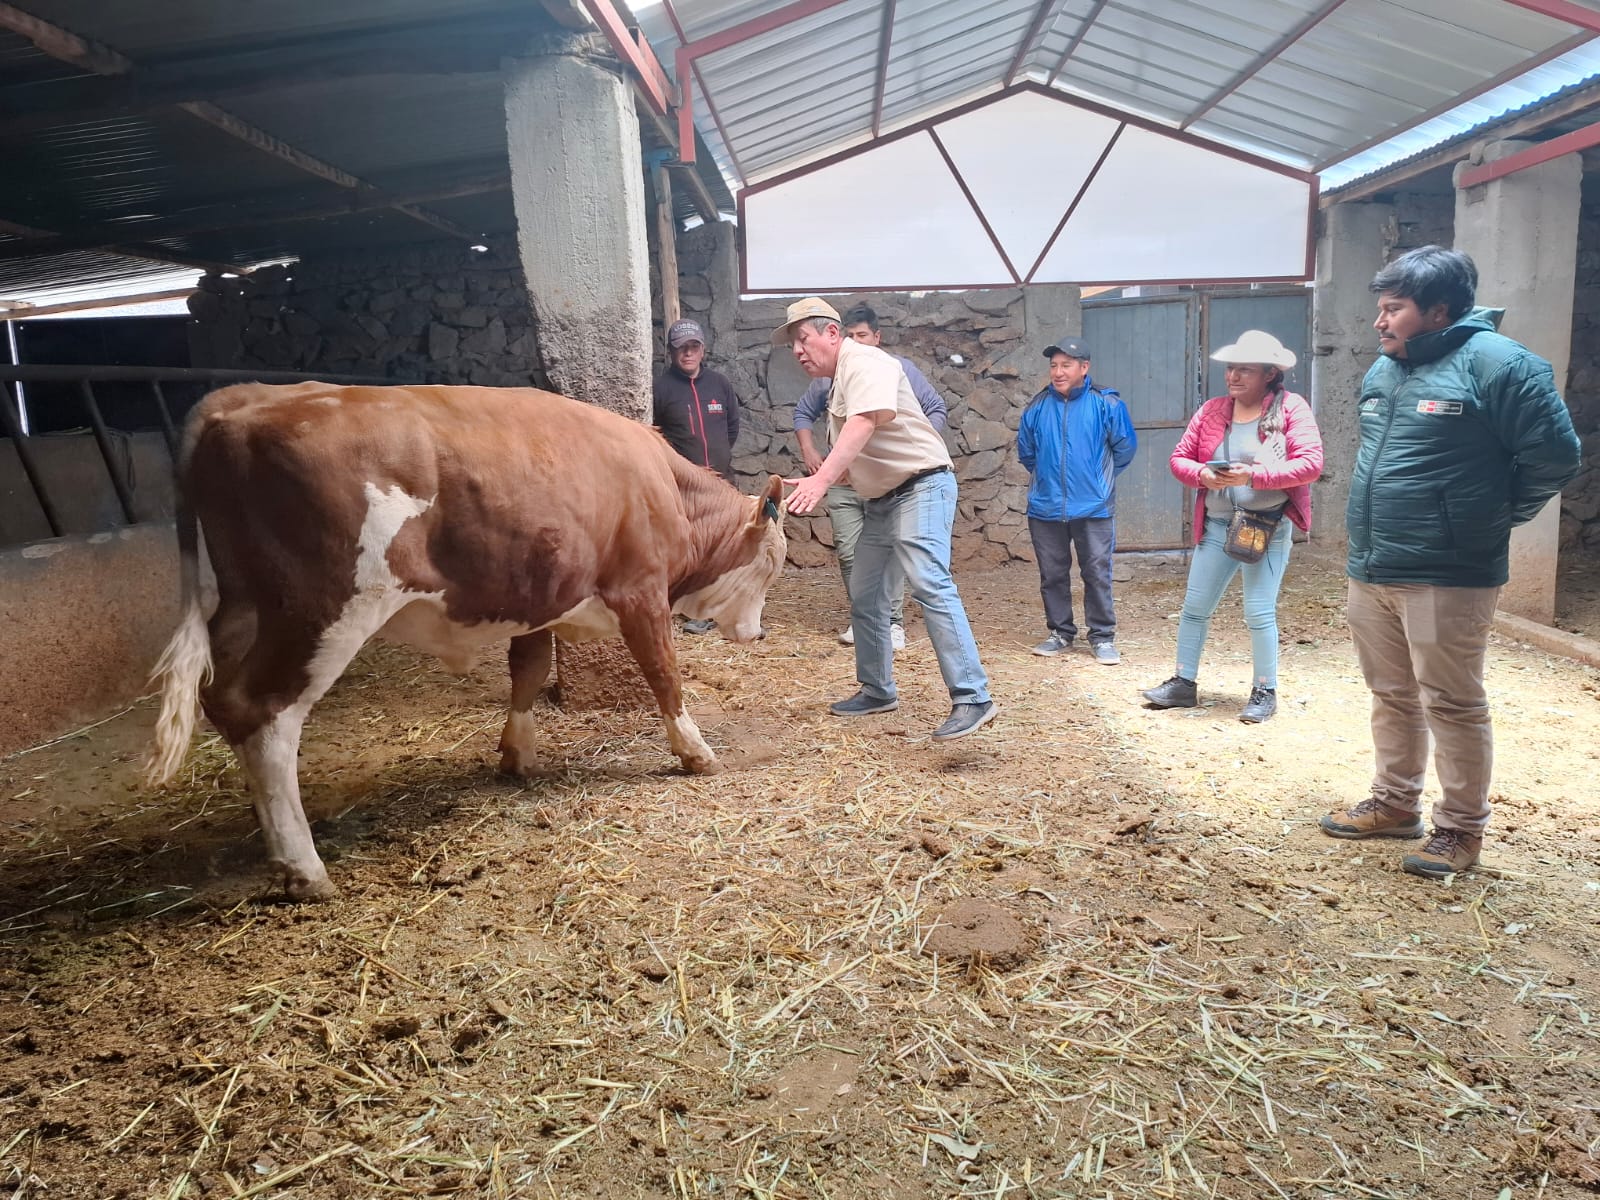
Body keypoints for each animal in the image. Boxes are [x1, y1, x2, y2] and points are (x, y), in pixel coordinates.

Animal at [147, 385, 784, 902]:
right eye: (774, 561)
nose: (757, 633)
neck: (665, 487)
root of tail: (242, 397)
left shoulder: (541, 598)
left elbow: (528, 670)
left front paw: (518, 755)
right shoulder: (641, 591)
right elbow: (662, 673)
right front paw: (696, 752)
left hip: (241, 609)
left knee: (221, 700)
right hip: (321, 611)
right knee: (264, 713)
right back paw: (303, 867)